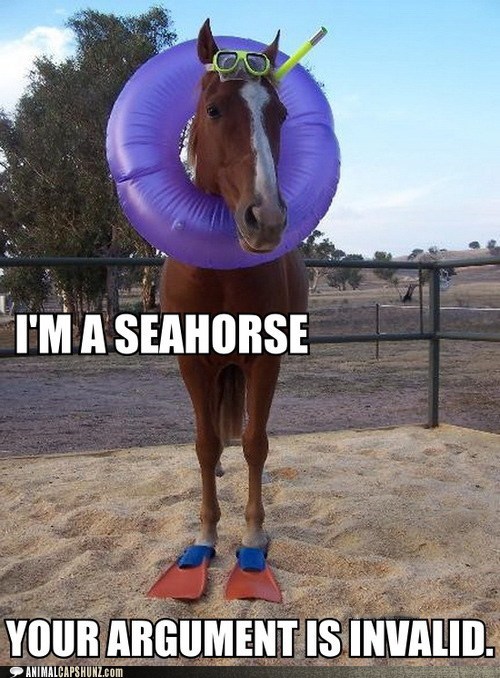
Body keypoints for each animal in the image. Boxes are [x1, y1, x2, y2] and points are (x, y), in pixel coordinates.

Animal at [160, 19, 308, 561]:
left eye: (280, 114)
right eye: (213, 109)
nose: (265, 218)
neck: (219, 275)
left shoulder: (264, 361)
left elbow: (255, 442)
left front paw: (253, 534)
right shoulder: (192, 362)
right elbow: (204, 445)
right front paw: (205, 535)